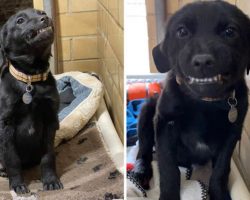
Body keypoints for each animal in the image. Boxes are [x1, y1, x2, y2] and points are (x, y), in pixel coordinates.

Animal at [0, 8, 63, 194]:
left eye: (41, 12)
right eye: (20, 20)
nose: (45, 18)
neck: (30, 79)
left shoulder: (50, 120)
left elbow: (48, 156)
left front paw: (50, 180)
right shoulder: (6, 126)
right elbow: (12, 160)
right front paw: (17, 185)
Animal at [132, 1, 249, 200]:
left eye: (230, 31)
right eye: (182, 32)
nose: (202, 61)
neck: (205, 102)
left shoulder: (232, 133)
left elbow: (221, 170)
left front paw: (219, 194)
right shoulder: (164, 125)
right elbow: (168, 169)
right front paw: (169, 196)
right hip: (147, 111)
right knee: (143, 151)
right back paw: (141, 172)